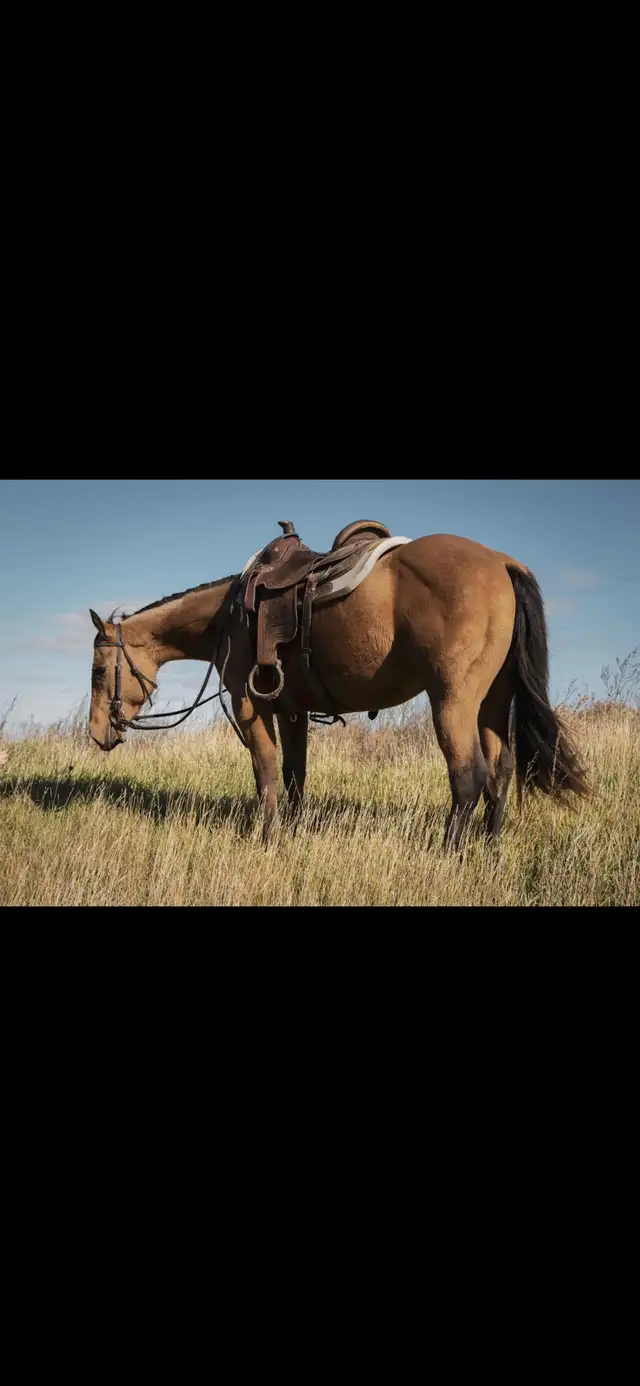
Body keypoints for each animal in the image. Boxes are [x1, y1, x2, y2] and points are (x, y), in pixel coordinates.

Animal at [87, 529, 589, 849]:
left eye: (97, 669)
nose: (96, 733)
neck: (229, 616)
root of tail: (503, 562)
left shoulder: (249, 706)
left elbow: (265, 772)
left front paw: (268, 839)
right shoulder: (291, 710)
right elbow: (294, 776)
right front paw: (291, 832)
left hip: (453, 701)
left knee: (468, 776)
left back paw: (449, 852)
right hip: (493, 703)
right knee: (501, 775)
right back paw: (490, 847)